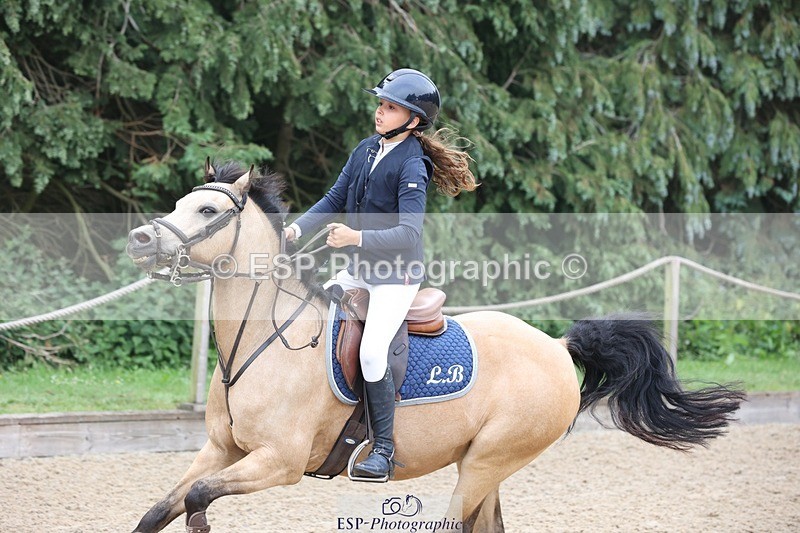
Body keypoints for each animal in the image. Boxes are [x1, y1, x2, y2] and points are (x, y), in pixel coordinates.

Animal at [125, 161, 744, 532]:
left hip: (487, 461)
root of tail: (555, 345)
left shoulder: (278, 462)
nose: (139, 238)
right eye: (180, 202)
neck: (266, 341)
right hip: (484, 468)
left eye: (207, 211)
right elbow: (161, 507)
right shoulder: (221, 451)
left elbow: (198, 497)